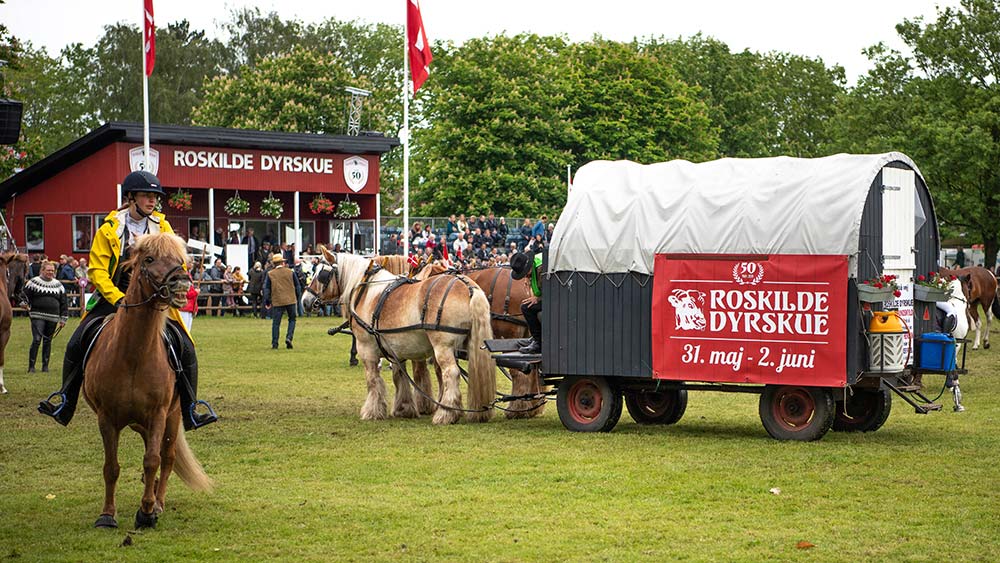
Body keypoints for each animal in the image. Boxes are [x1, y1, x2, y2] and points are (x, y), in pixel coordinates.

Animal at [82, 232, 213, 528]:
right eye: (149, 259)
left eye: (180, 259)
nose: (182, 283)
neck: (134, 354)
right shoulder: (106, 418)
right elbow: (111, 467)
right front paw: (107, 514)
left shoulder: (158, 414)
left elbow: (153, 460)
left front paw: (147, 512)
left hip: (172, 416)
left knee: (167, 457)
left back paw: (158, 501)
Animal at [302, 249, 494, 426]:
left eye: (321, 274)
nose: (305, 301)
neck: (367, 291)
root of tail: (468, 286)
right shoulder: (396, 349)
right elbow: (399, 376)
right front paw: (404, 408)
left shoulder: (366, 349)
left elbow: (373, 379)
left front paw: (372, 411)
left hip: (443, 346)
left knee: (451, 373)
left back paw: (446, 414)